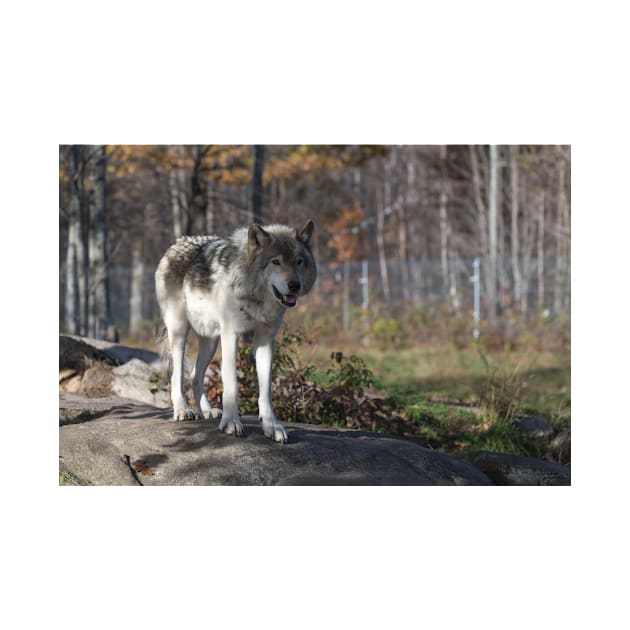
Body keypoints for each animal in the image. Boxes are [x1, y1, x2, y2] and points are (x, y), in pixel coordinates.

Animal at [156, 222, 318, 444]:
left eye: (299, 261)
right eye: (275, 262)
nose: (294, 285)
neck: (256, 296)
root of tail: (176, 243)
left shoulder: (265, 340)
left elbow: (266, 388)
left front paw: (271, 425)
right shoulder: (231, 335)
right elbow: (231, 382)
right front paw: (231, 422)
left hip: (210, 341)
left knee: (196, 375)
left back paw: (207, 411)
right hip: (180, 332)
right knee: (177, 374)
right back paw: (182, 410)